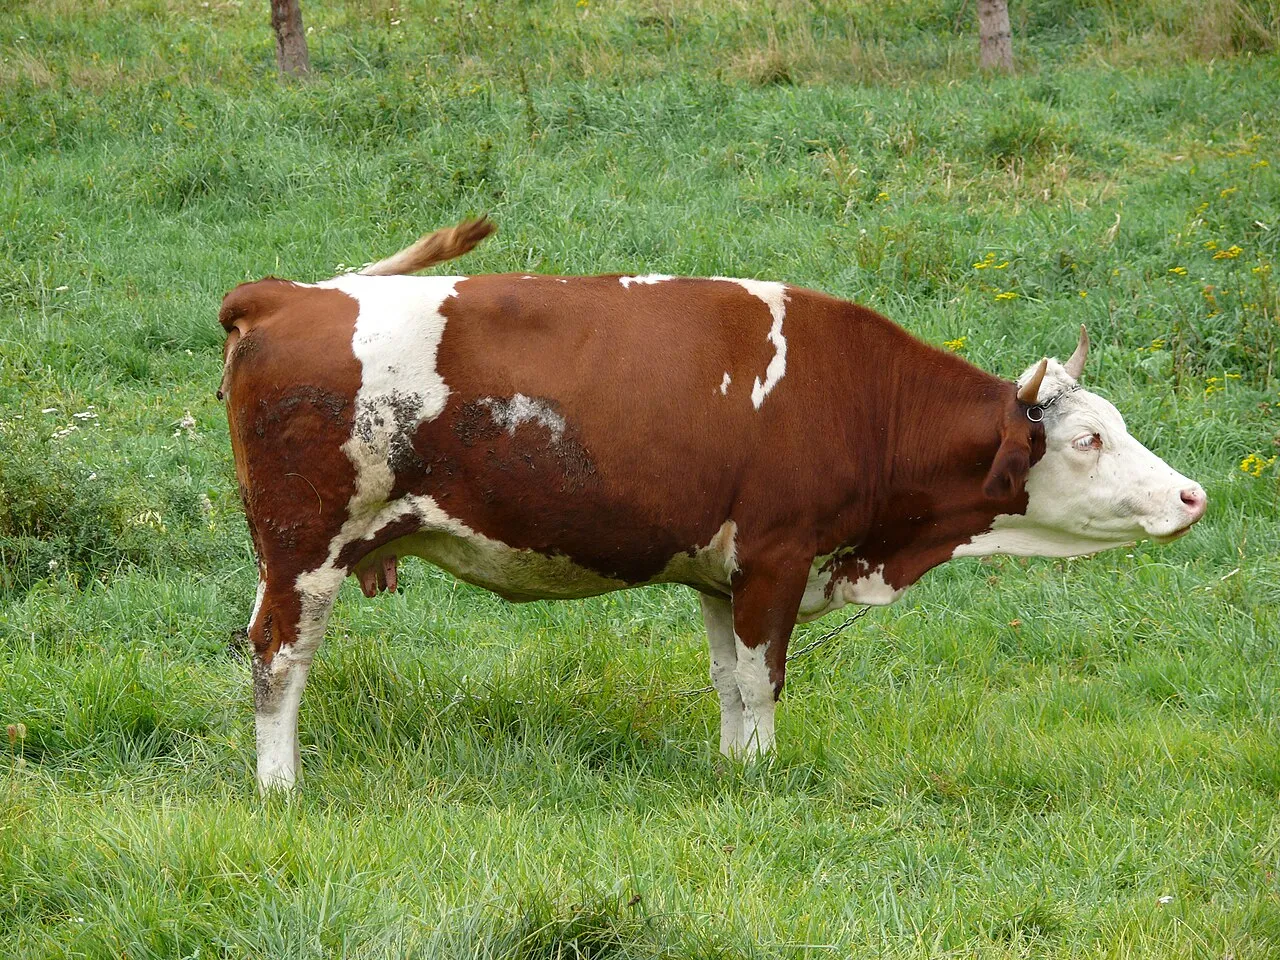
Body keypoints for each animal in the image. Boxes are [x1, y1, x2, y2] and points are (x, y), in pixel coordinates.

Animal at [219, 217, 1207, 791]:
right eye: (1089, 440)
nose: (1193, 495)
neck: (858, 393)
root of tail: (287, 293)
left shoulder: (720, 573)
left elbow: (730, 677)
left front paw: (735, 773)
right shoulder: (778, 554)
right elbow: (765, 678)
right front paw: (764, 778)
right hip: (305, 549)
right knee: (277, 661)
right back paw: (280, 788)